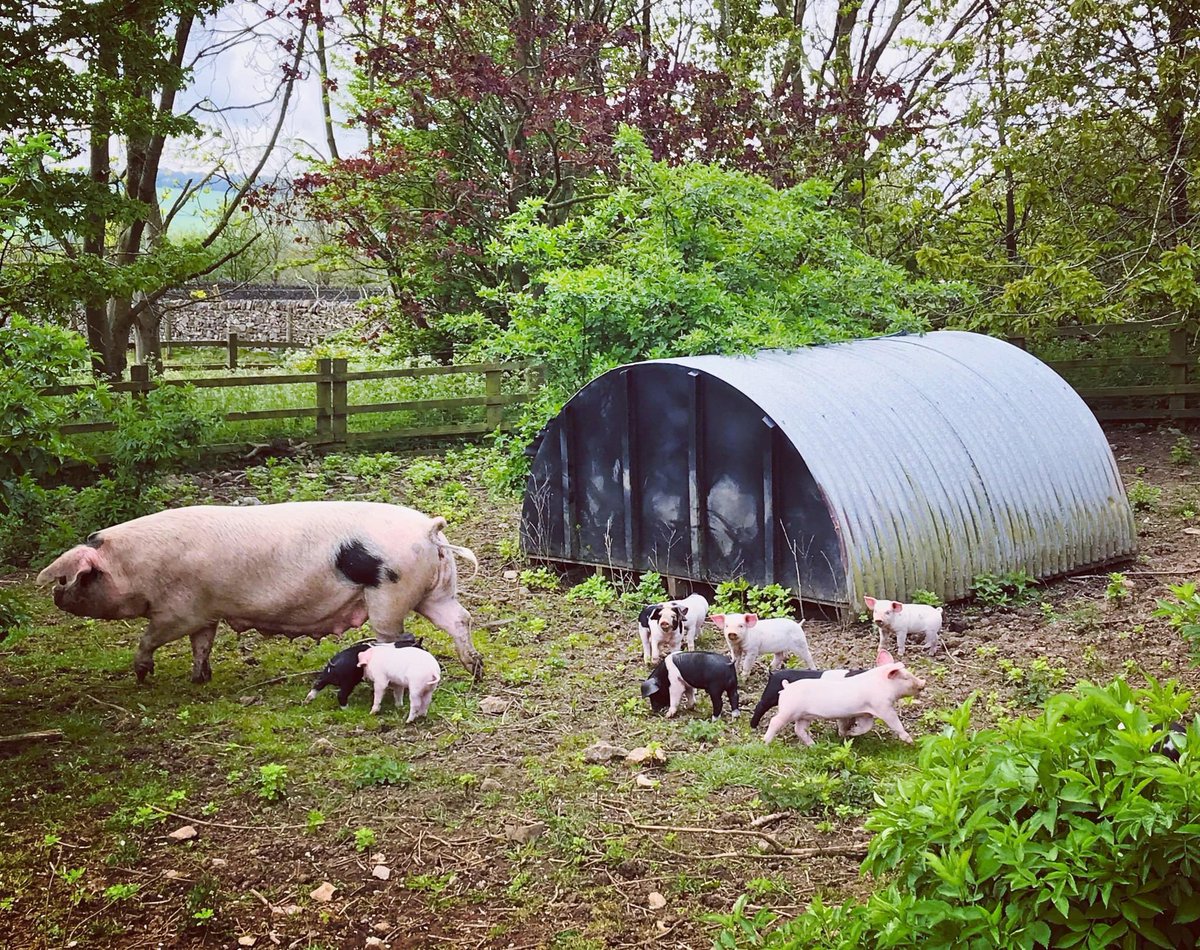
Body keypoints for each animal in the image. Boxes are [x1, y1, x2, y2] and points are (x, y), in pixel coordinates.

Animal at [35, 501, 481, 685]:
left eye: (73, 578)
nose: (56, 595)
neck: (132, 566)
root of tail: (430, 528)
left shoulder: (177, 611)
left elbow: (151, 638)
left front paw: (142, 676)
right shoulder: (205, 612)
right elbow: (202, 645)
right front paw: (200, 679)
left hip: (389, 594)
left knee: (397, 637)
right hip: (433, 592)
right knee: (460, 619)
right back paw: (474, 669)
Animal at [762, 650, 925, 746]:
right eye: (905, 677)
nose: (923, 683)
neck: (881, 683)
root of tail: (786, 687)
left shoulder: (865, 713)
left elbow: (867, 726)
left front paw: (848, 733)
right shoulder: (883, 706)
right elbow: (894, 722)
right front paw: (910, 741)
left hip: (804, 716)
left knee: (799, 729)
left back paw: (813, 745)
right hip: (788, 710)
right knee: (775, 721)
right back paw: (766, 742)